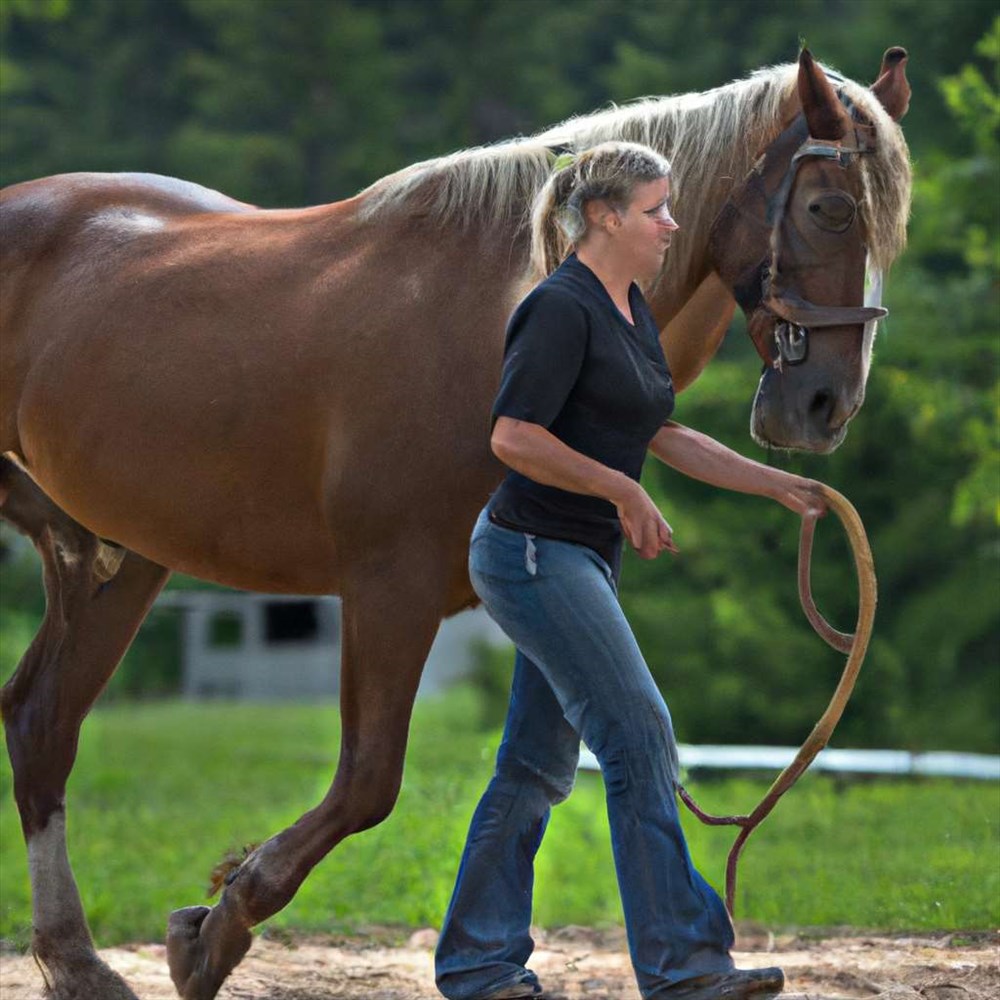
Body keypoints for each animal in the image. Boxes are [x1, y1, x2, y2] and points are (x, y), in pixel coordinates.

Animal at [0, 48, 910, 1000]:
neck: (495, 306)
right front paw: (215, 929)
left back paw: (77, 962)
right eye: (829, 209)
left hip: (121, 558)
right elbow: (368, 783)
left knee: (40, 725)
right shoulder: (387, 586)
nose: (826, 407)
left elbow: (531, 773)